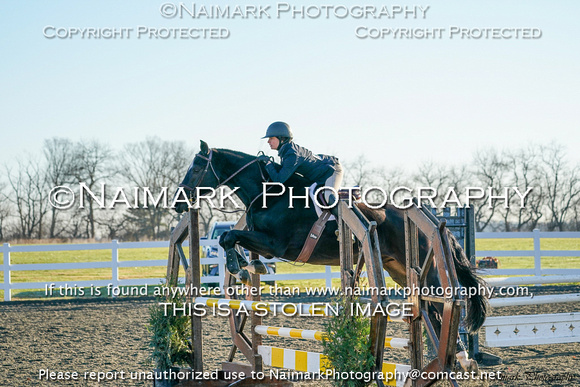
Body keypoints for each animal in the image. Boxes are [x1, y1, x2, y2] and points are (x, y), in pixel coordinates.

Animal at [174, 141, 488, 342]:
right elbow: (230, 239)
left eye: (197, 168)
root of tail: (435, 224)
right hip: (398, 269)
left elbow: (229, 236)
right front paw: (245, 266)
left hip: (428, 267)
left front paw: (237, 266)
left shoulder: (276, 244)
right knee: (429, 307)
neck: (268, 192)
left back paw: (458, 354)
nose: (178, 204)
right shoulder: (263, 241)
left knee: (441, 302)